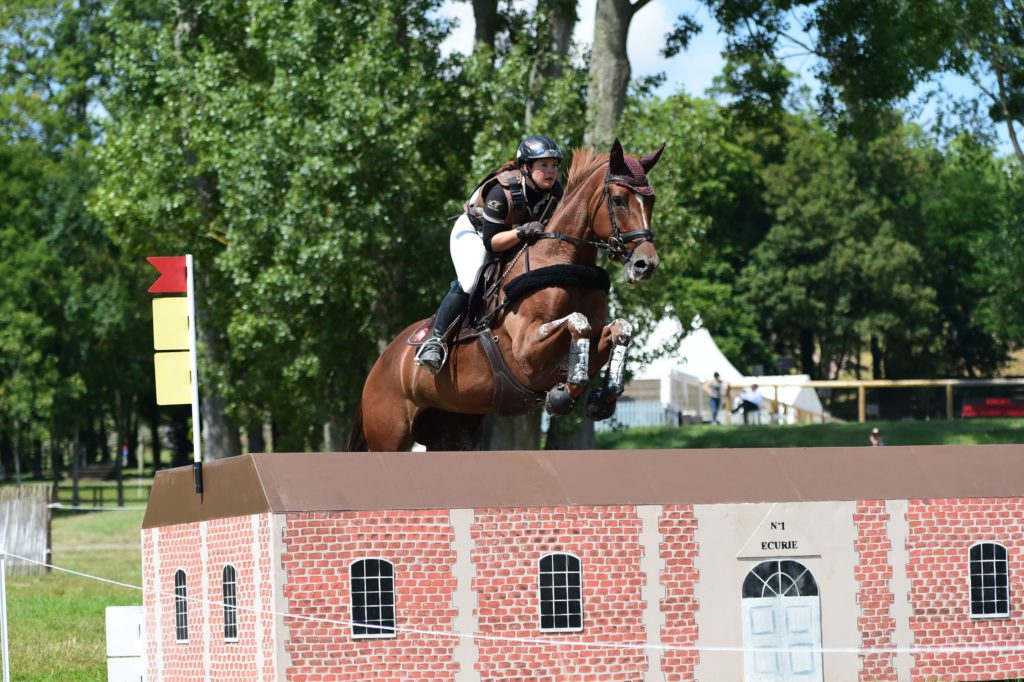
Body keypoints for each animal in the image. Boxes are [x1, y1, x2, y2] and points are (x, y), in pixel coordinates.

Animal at [350, 139, 663, 448]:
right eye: (619, 200)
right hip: (390, 434)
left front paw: (601, 399)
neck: (562, 258)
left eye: (651, 200)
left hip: (453, 428)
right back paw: (432, 350)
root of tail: (379, 365)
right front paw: (561, 397)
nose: (645, 264)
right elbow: (578, 322)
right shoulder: (526, 351)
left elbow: (620, 328)